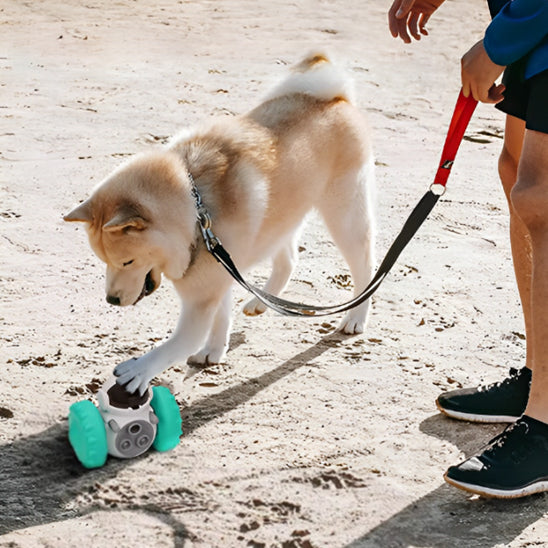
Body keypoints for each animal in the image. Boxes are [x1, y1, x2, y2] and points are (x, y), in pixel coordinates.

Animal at [63, 53, 372, 396]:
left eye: (127, 261)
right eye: (103, 261)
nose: (112, 301)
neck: (196, 210)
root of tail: (335, 97)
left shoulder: (202, 298)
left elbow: (177, 344)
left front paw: (140, 369)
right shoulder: (221, 270)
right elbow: (221, 317)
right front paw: (214, 350)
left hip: (344, 217)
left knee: (365, 268)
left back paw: (356, 318)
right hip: (283, 219)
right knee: (288, 259)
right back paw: (260, 302)